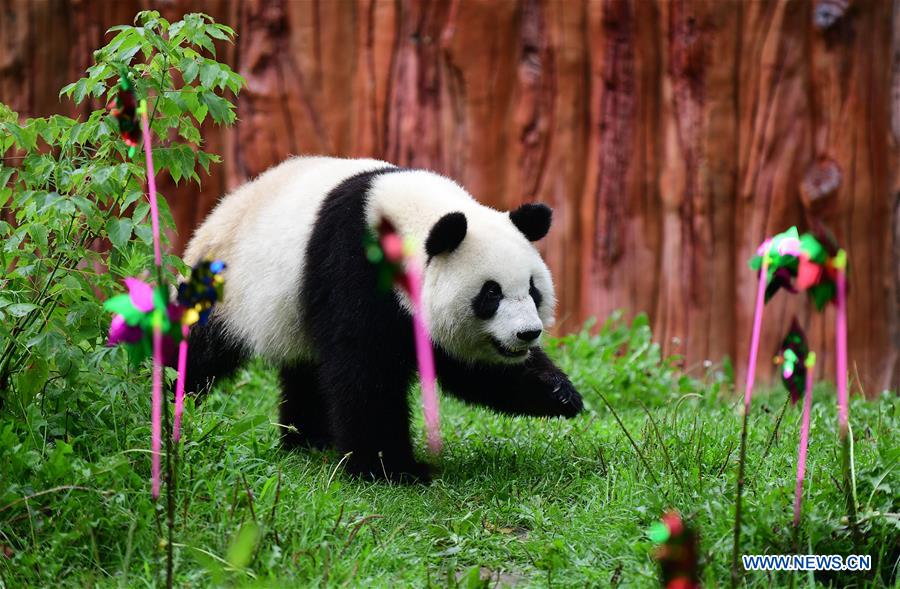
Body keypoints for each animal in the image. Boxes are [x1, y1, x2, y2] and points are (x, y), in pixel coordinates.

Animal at [183, 156, 583, 482]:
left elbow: (474, 370)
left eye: (533, 289)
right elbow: (365, 371)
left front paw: (560, 393)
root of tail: (225, 205)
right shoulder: (352, 268)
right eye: (491, 294)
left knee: (308, 370)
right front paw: (392, 470)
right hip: (226, 286)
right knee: (200, 349)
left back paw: (311, 439)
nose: (527, 333)